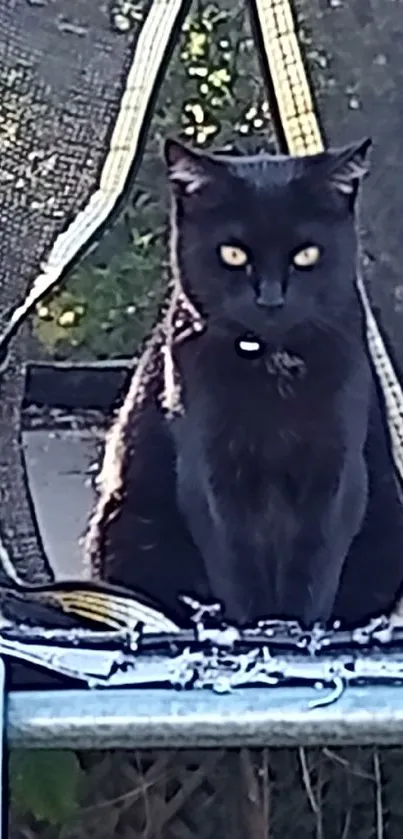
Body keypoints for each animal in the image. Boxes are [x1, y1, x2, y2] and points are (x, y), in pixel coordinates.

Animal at [87, 141, 403, 632]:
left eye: (306, 255)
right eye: (233, 254)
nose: (270, 297)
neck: (270, 370)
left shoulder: (334, 471)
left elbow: (314, 567)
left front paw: (296, 629)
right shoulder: (213, 474)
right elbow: (237, 567)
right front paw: (256, 628)